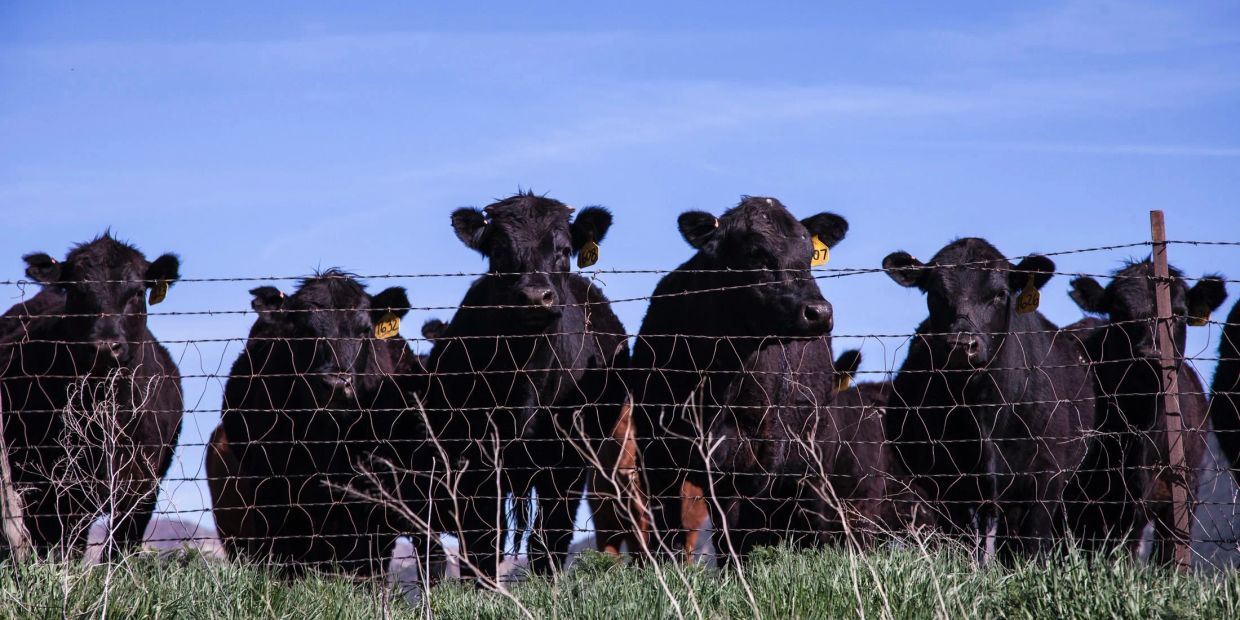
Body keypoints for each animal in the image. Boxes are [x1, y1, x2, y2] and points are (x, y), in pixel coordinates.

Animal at [0, 233, 183, 560]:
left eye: (138, 291)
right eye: (76, 290)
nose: (105, 345)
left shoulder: (142, 490)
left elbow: (120, 549)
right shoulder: (52, 490)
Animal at [421, 192, 629, 579]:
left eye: (564, 249)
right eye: (499, 251)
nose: (535, 296)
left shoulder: (565, 465)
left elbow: (549, 539)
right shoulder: (478, 462)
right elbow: (484, 540)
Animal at [628, 196, 892, 564]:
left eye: (809, 255)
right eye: (755, 252)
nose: (819, 312)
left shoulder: (749, 461)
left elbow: (735, 538)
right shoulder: (655, 452)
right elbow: (666, 530)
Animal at [881, 238, 1096, 560]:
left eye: (1000, 294)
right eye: (935, 293)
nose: (961, 344)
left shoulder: (1047, 478)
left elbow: (1033, 543)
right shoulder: (949, 484)